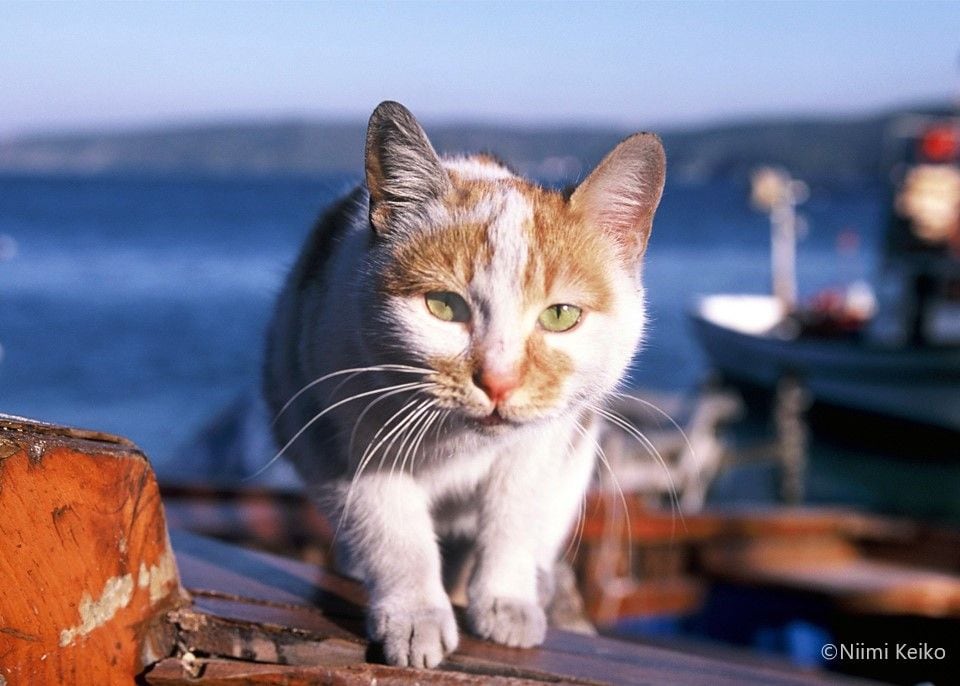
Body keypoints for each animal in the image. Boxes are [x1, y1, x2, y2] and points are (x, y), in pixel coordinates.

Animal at [264, 103, 668, 672]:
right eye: (443, 306)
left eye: (561, 315)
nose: (498, 380)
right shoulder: (341, 438)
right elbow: (393, 530)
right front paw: (415, 615)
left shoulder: (545, 442)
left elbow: (515, 516)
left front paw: (507, 600)